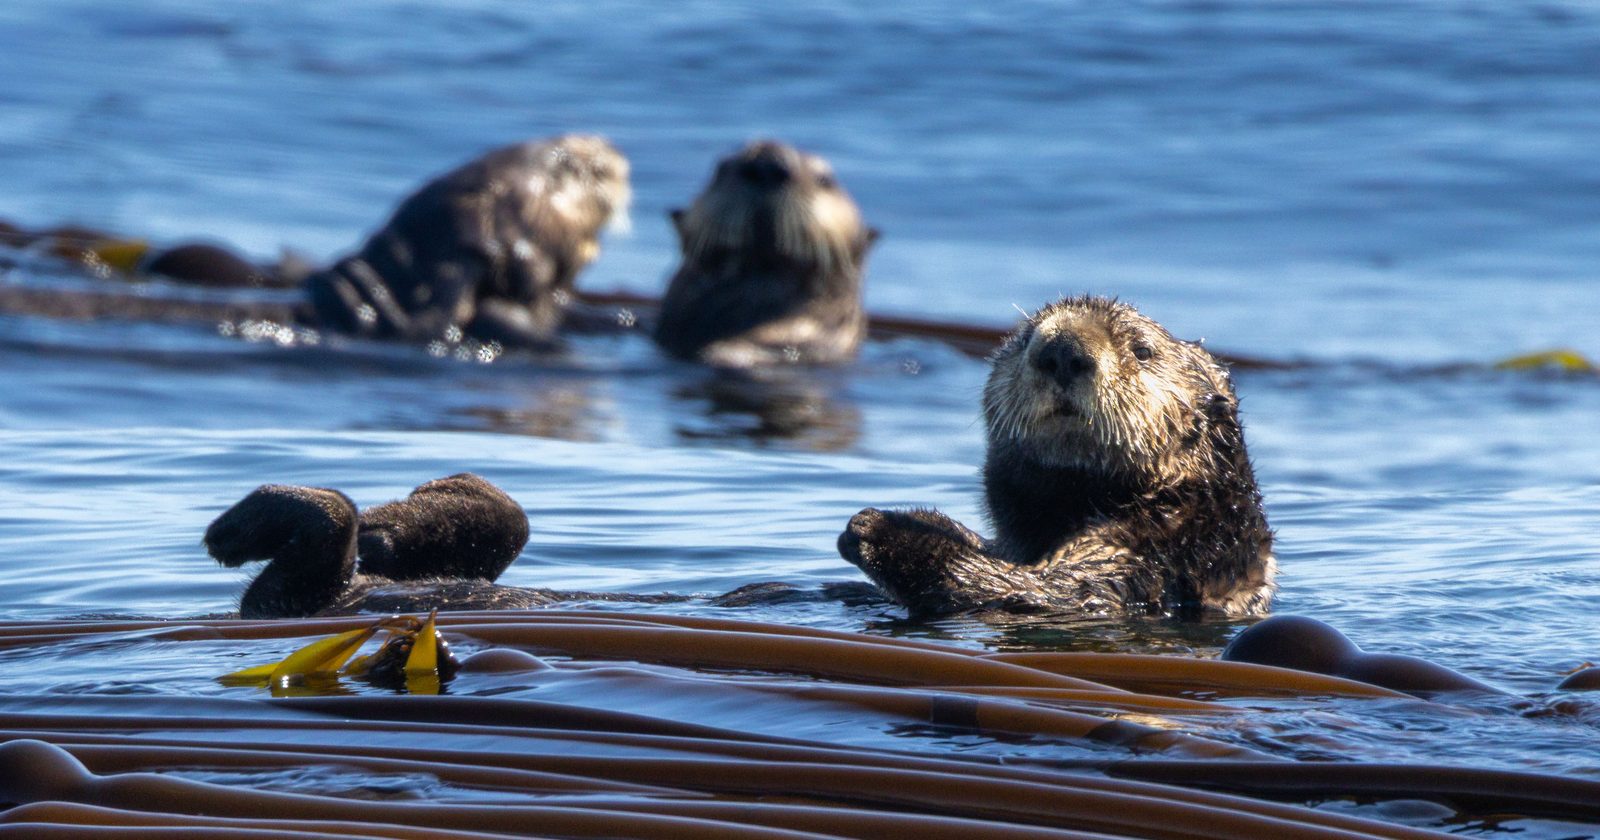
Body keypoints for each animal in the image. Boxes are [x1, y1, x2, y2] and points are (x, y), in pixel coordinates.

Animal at [837, 295, 1275, 617]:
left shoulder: (1149, 557)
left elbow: (1039, 590)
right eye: (1024, 338)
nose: (1063, 350)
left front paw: (875, 528)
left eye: (1143, 350)